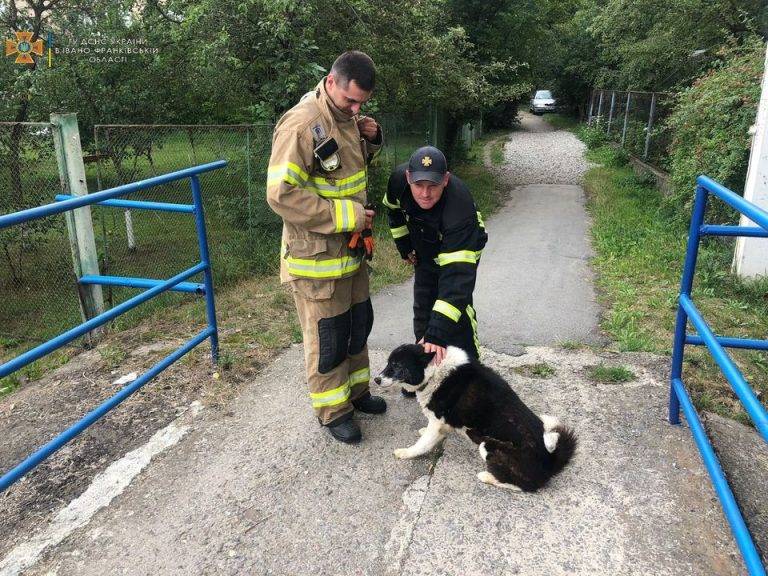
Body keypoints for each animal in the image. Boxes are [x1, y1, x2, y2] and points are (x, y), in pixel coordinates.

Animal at [372, 344, 576, 492]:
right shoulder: (441, 424)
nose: (376, 380)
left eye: (397, 365)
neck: (434, 372)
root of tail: (549, 461)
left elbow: (422, 444)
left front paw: (406, 453)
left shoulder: (437, 422)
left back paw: (487, 477)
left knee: (524, 486)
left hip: (488, 446)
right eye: (388, 363)